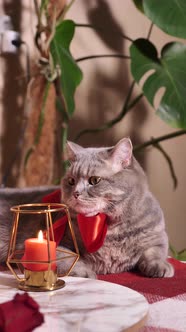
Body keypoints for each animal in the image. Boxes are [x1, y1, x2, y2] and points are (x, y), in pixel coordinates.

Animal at [0, 139, 174, 278]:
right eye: (71, 181)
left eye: (94, 180)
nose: (76, 193)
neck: (107, 226)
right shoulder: (37, 245)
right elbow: (67, 257)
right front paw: (85, 272)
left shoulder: (158, 236)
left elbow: (155, 252)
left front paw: (160, 266)